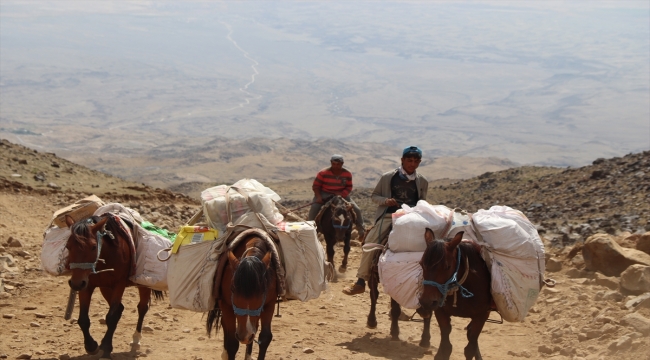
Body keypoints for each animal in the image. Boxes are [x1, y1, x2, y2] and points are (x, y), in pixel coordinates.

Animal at [64, 215, 162, 358]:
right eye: (67, 246)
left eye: (93, 247)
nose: (75, 283)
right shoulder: (86, 285)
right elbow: (83, 319)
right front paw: (92, 347)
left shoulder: (118, 284)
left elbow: (111, 317)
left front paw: (106, 347)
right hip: (104, 287)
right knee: (120, 308)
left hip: (143, 284)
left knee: (142, 308)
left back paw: (136, 341)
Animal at [206, 231, 278, 360]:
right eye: (233, 289)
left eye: (263, 291)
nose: (245, 336)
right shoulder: (226, 305)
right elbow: (232, 343)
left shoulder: (269, 303)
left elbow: (265, 338)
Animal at [418, 231, 488, 360]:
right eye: (421, 264)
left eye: (448, 266)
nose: (426, 301)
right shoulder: (440, 311)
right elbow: (445, 349)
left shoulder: (482, 315)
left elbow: (470, 349)